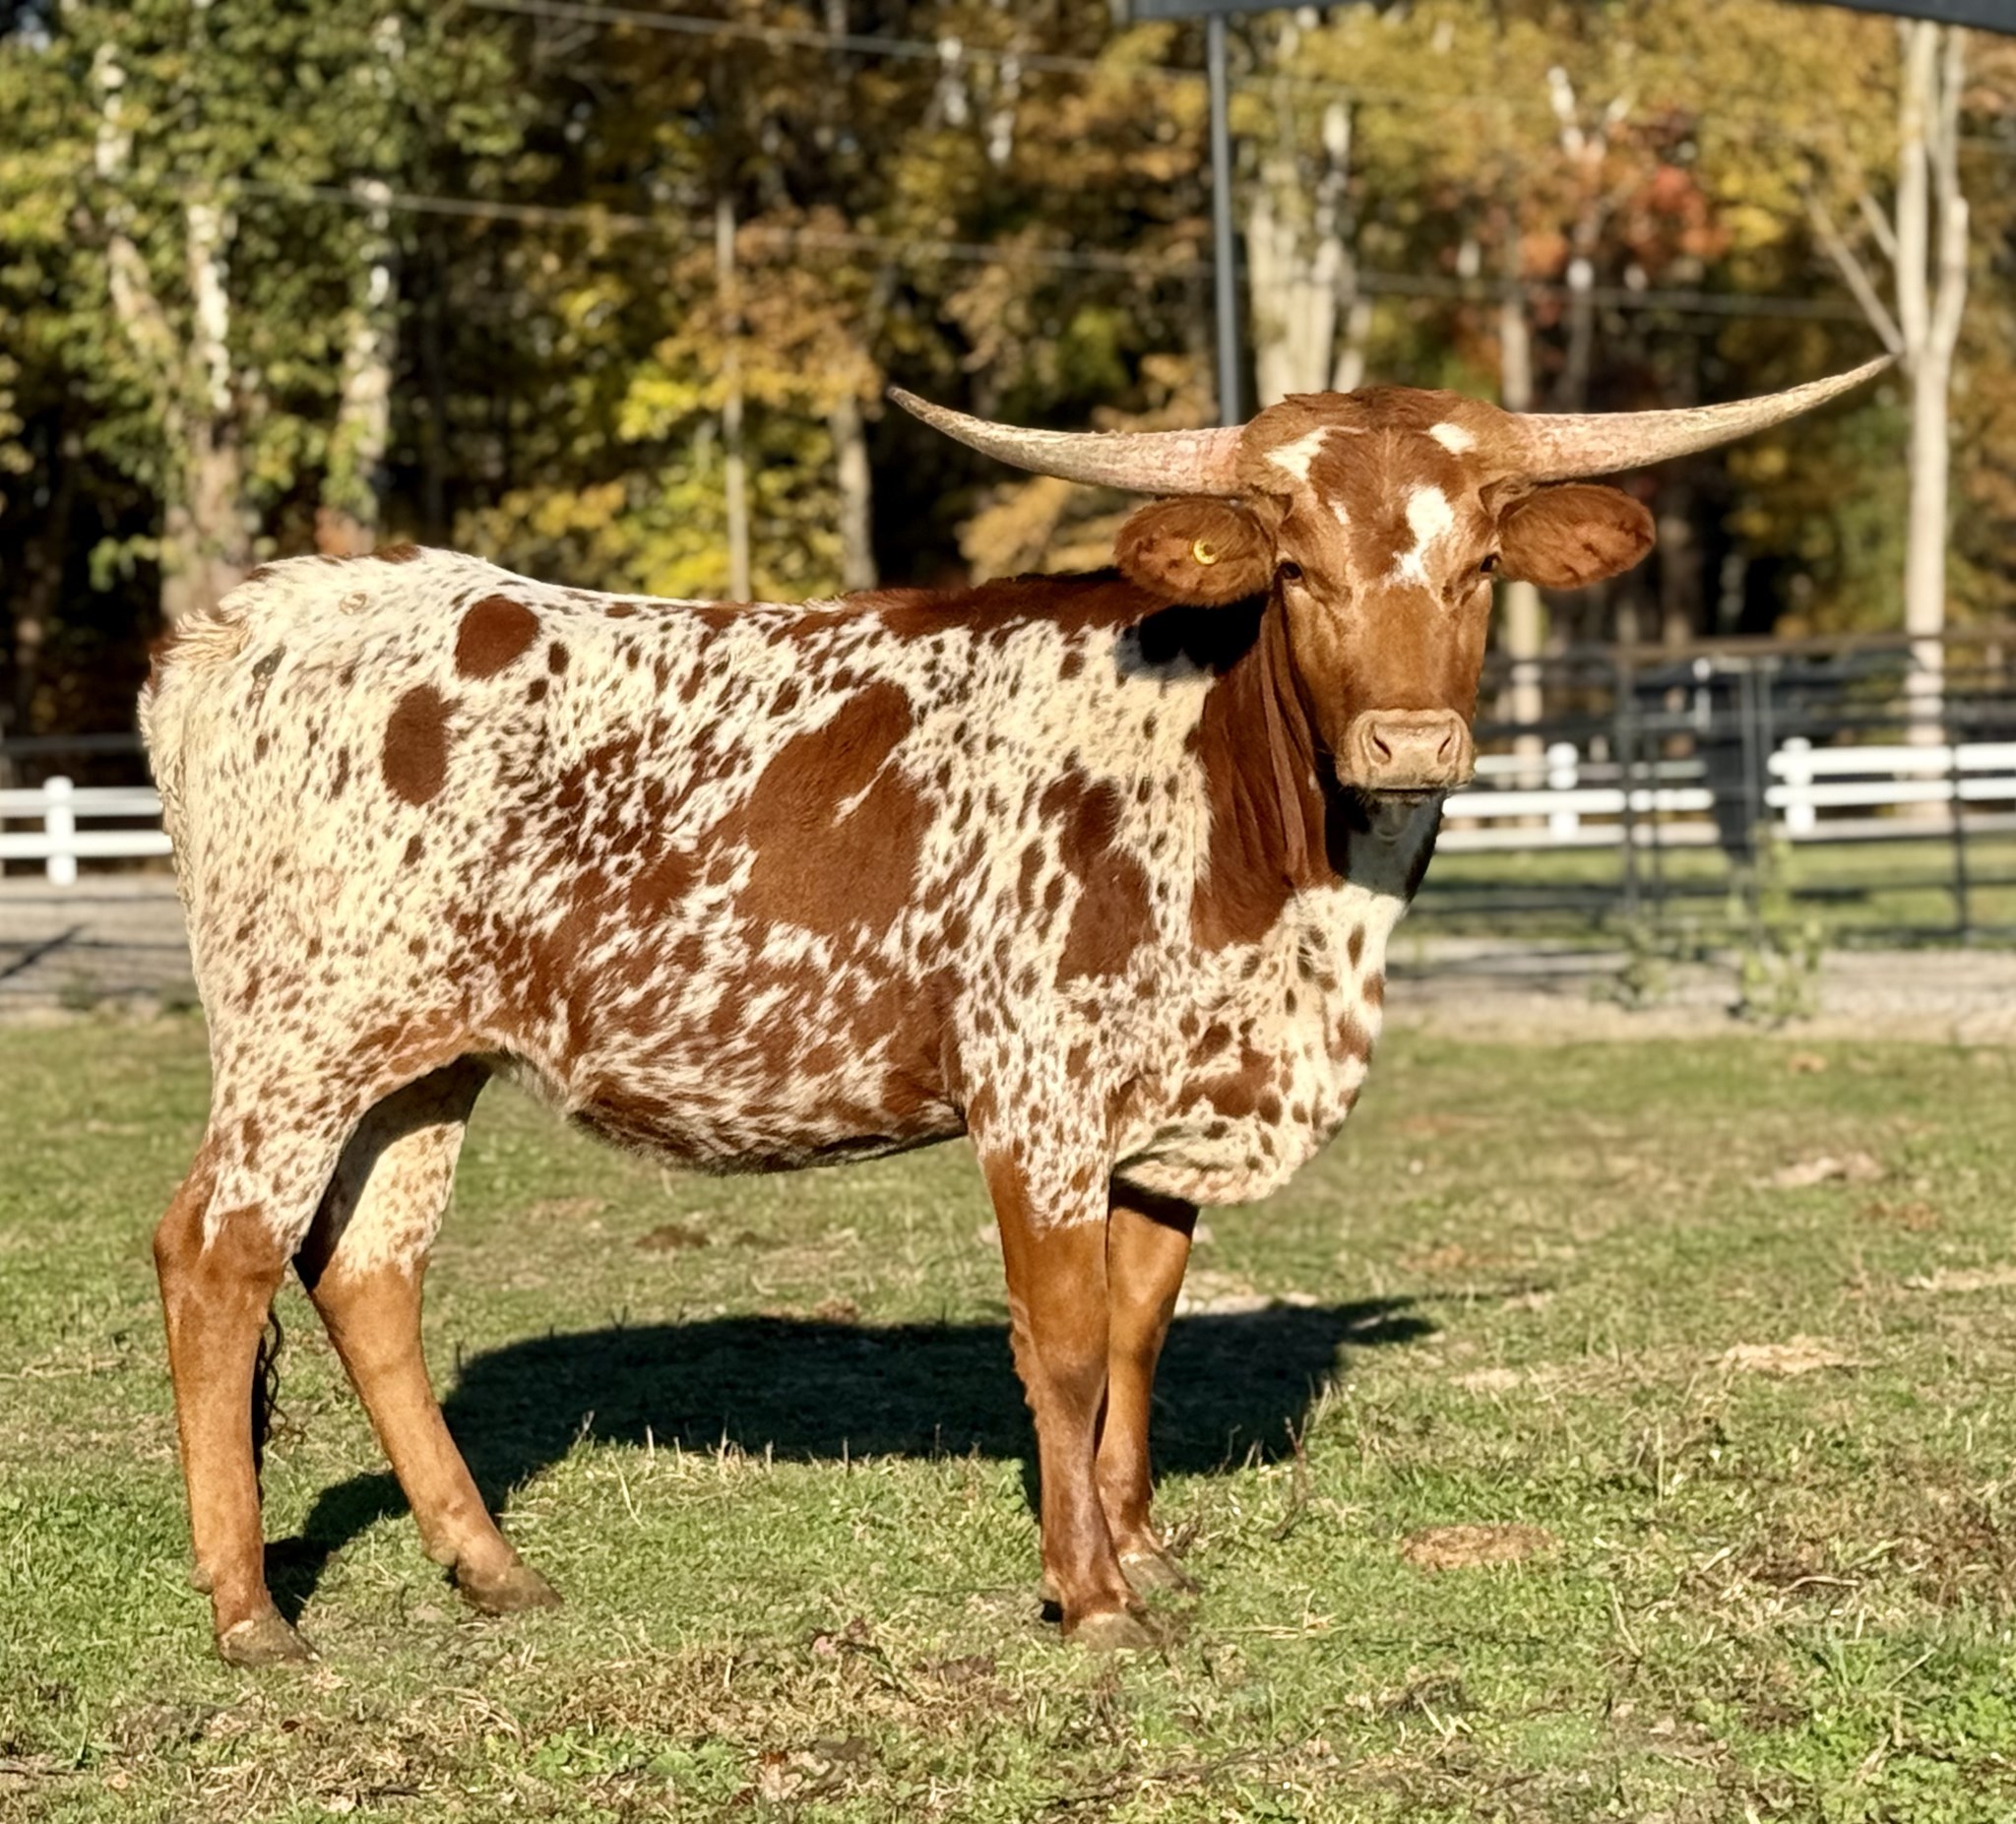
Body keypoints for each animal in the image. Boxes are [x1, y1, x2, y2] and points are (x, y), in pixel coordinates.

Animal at [140, 356, 1884, 1664]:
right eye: (1297, 568)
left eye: (1478, 571)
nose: (1408, 745)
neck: (1273, 858)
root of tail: (253, 616)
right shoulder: (1037, 1097)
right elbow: (1059, 1346)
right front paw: (1092, 1593)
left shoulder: (1165, 1125)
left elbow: (1138, 1339)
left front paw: (1140, 1546)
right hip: (299, 1037)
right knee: (217, 1255)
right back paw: (248, 1612)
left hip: (425, 1058)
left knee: (368, 1271)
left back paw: (490, 1568)